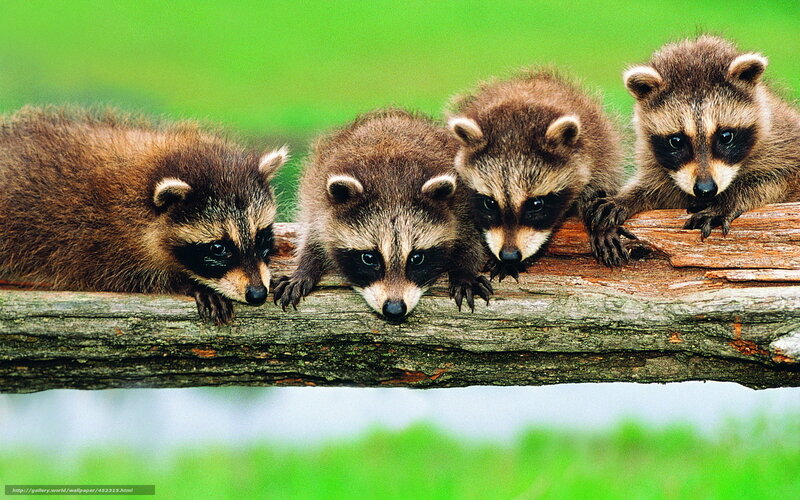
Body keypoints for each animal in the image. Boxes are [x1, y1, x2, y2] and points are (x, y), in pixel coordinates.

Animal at [0, 106, 288, 325]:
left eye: (261, 238)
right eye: (218, 248)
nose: (257, 294)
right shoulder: (99, 241)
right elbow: (132, 277)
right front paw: (190, 284)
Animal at [272, 109, 492, 322]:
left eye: (417, 258)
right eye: (369, 258)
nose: (394, 309)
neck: (392, 183)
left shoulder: (461, 205)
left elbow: (470, 240)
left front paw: (464, 272)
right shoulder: (318, 204)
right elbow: (313, 236)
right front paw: (305, 267)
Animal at [590, 35, 800, 266]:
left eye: (725, 136)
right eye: (676, 141)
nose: (705, 189)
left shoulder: (783, 141)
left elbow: (779, 179)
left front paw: (728, 199)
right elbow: (656, 189)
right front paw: (626, 198)